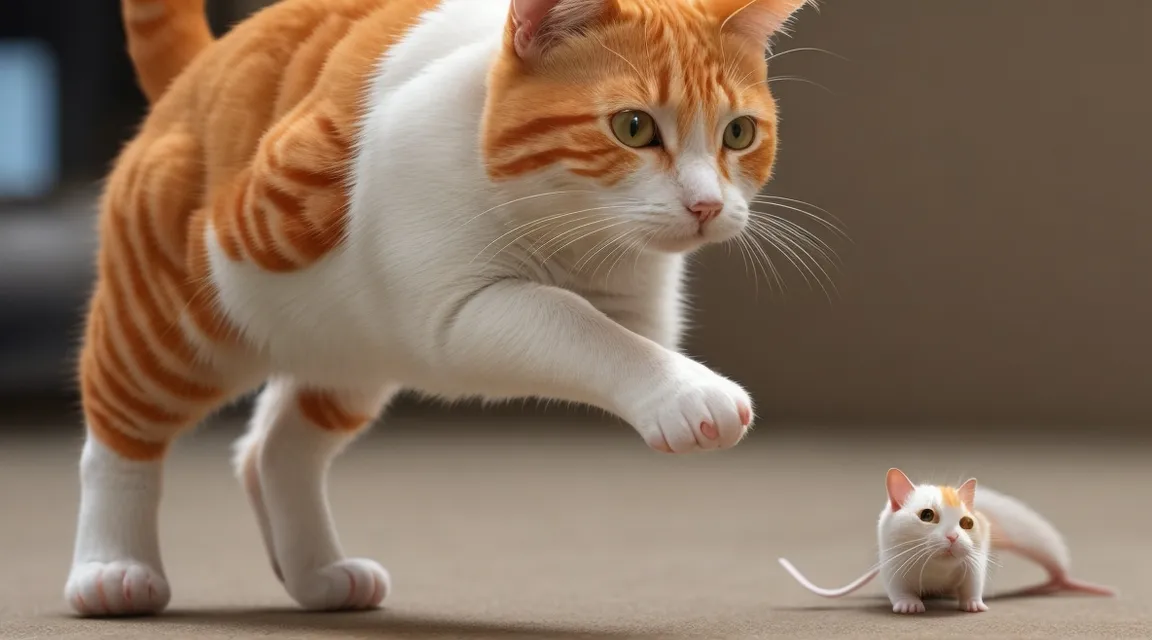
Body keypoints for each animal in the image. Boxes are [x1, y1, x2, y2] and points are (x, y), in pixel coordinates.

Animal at [69, 0, 811, 616]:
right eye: (633, 127)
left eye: (739, 134)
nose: (707, 206)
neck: (574, 241)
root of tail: (200, 67)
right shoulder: (460, 314)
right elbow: (577, 323)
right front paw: (686, 395)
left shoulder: (639, 301)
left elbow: (630, 330)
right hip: (168, 328)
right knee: (118, 436)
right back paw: (112, 570)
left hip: (346, 356)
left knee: (272, 451)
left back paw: (315, 573)